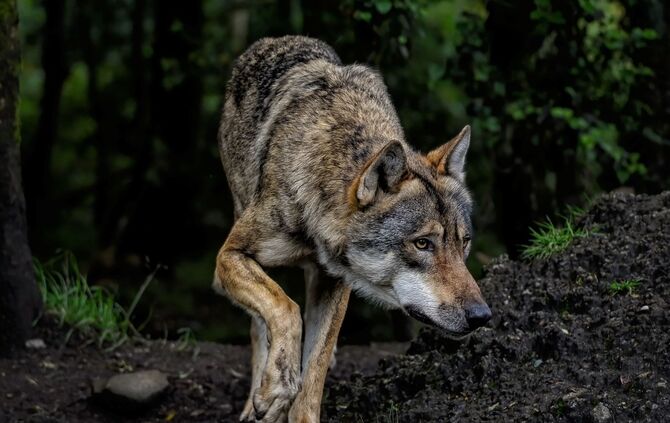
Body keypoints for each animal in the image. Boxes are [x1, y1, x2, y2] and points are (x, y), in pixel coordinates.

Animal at [214, 35, 491, 422]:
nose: (482, 316)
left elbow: (313, 372)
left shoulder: (335, 281)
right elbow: (285, 309)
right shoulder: (229, 256)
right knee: (261, 325)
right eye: (422, 244)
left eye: (463, 243)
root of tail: (273, 41)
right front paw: (276, 387)